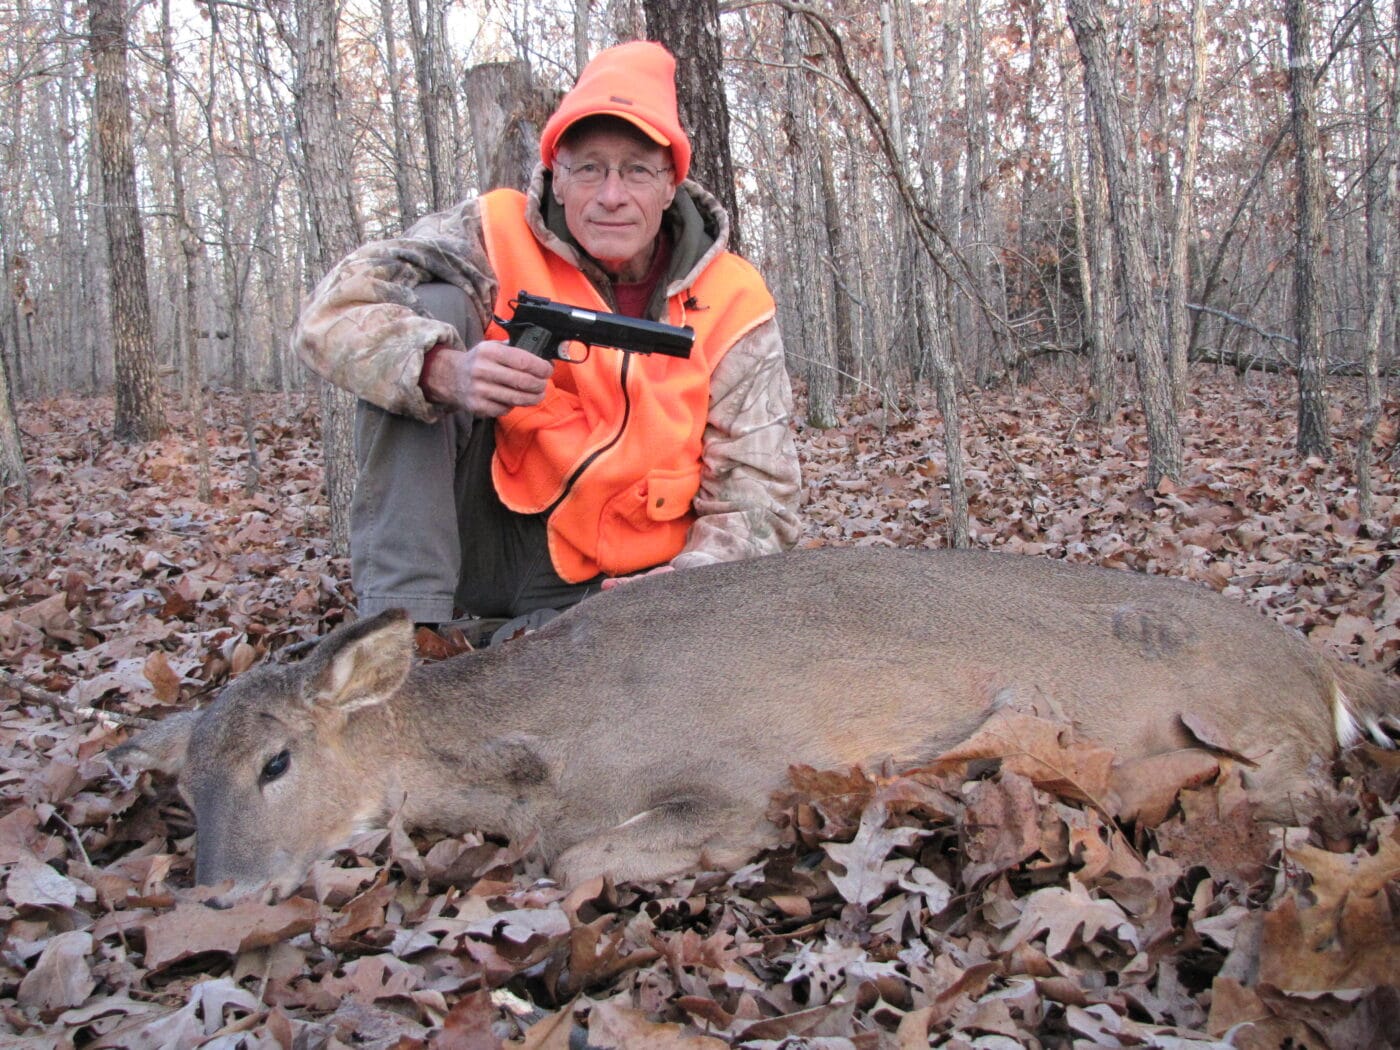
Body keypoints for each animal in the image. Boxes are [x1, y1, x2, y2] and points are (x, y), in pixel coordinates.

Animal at [112, 546, 1400, 901]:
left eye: (277, 760)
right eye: (185, 786)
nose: (216, 893)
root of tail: (1319, 657)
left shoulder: (730, 773)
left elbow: (574, 857)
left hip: (1235, 709)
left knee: (1298, 782)